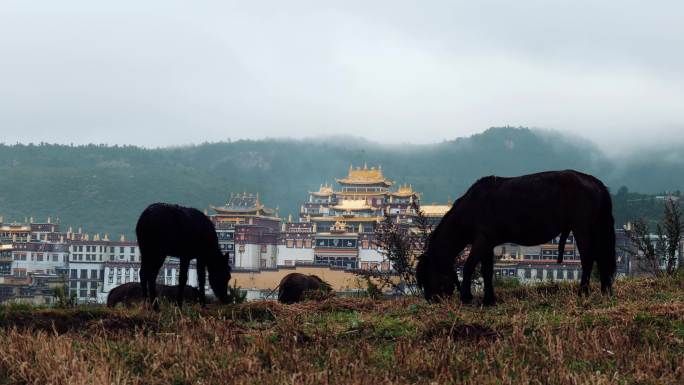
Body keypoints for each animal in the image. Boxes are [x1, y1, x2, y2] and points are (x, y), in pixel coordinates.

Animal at [414, 170, 616, 304]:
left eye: (426, 275)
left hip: (581, 228)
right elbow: (487, 271)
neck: (471, 208)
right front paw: (489, 299)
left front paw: (466, 297)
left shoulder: (481, 240)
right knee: (601, 258)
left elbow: (469, 267)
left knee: (588, 258)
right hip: (594, 229)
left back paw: (583, 292)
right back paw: (605, 290)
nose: (431, 300)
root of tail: (593, 180)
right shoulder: (487, 244)